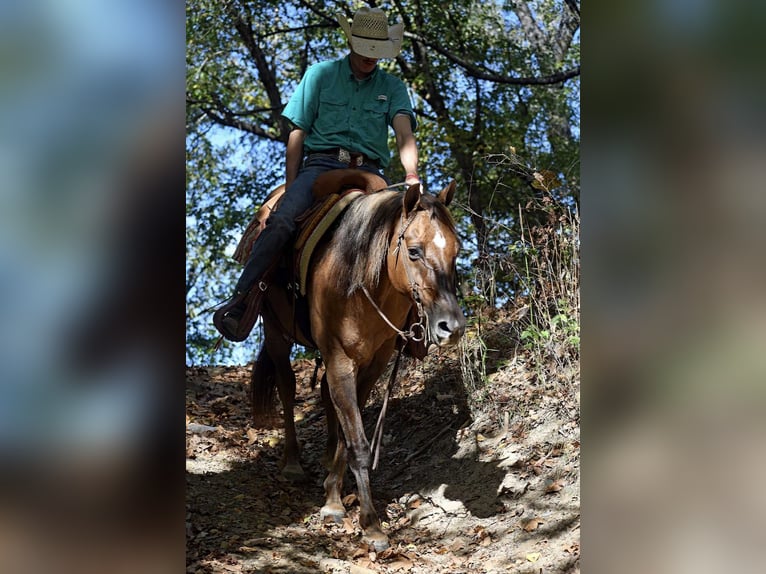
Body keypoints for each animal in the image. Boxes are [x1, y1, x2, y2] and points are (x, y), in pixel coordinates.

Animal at [250, 173, 466, 550]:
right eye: (413, 251)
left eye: (456, 252)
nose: (451, 327)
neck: (360, 278)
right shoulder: (339, 358)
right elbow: (360, 445)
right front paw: (371, 524)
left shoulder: (373, 364)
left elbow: (349, 432)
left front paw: (334, 499)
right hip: (277, 333)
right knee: (287, 388)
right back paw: (291, 463)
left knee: (325, 396)